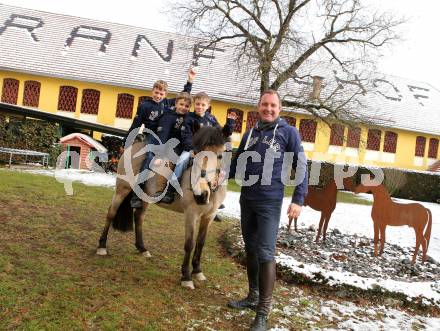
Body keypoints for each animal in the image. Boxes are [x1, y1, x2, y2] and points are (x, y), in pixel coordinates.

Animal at [96, 127, 227, 290]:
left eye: (220, 155)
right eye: (195, 153)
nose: (200, 194)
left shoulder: (208, 217)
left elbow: (201, 243)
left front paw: (197, 271)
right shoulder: (191, 215)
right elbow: (189, 244)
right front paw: (186, 277)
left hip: (145, 197)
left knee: (139, 217)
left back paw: (142, 248)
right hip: (122, 189)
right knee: (111, 213)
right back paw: (102, 246)